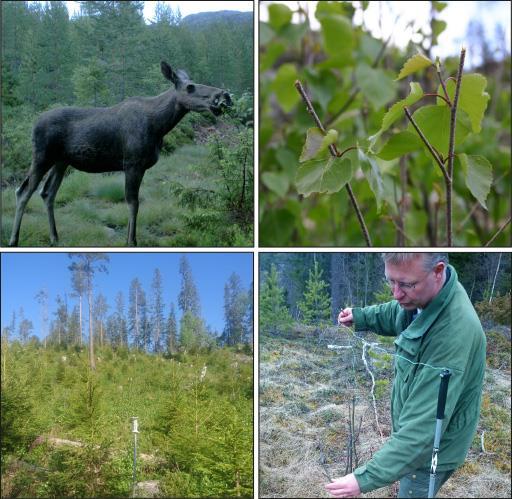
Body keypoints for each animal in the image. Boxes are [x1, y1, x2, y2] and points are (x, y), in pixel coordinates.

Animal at [8, 61, 232, 247]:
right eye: (190, 87)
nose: (224, 96)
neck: (159, 125)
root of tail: (33, 125)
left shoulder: (138, 167)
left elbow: (133, 202)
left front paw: (128, 239)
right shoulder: (133, 163)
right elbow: (133, 202)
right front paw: (131, 241)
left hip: (61, 162)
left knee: (47, 193)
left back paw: (55, 237)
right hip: (42, 156)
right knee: (23, 191)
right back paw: (14, 240)